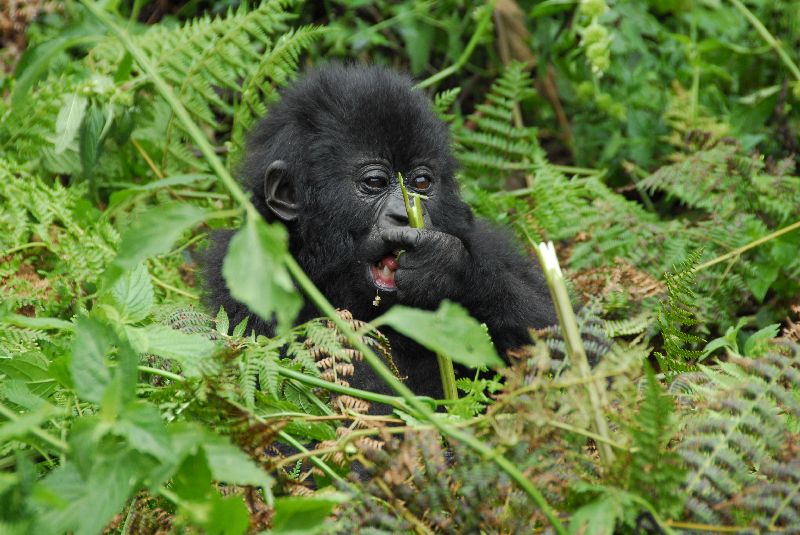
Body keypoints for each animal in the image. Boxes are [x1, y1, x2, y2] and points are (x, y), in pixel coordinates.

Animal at [205, 62, 556, 402]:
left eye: (421, 182)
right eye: (374, 182)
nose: (404, 214)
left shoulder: (488, 242)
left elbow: (558, 335)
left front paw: (446, 269)